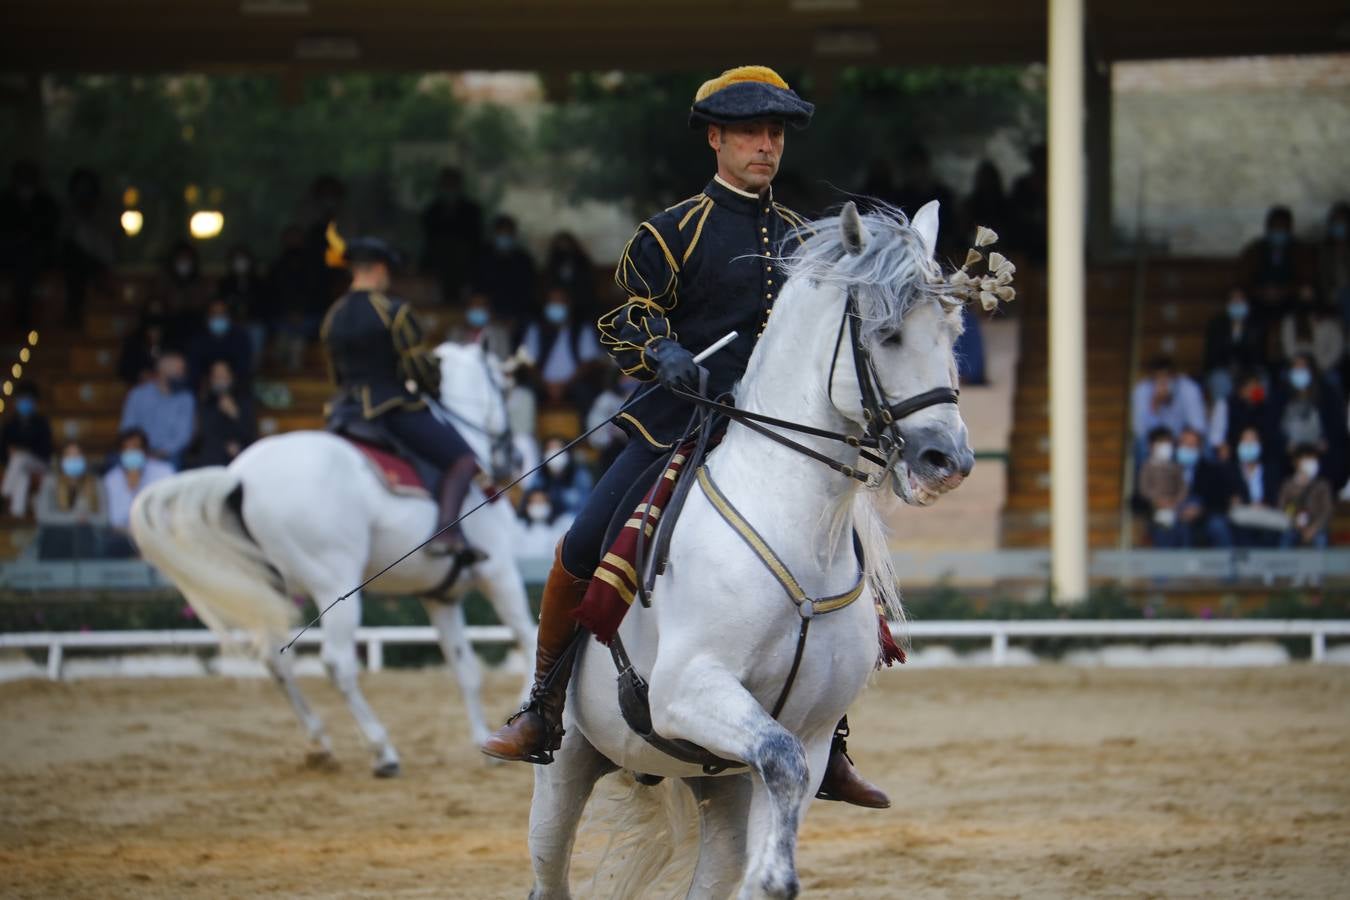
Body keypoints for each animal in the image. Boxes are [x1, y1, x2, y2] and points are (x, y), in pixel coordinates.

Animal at [128, 341, 534, 777]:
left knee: (276, 661)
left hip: (272, 587)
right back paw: (382, 750)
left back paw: (319, 744)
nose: (513, 459)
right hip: (335, 585)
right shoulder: (499, 573)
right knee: (337, 663)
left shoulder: (440, 596)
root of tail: (241, 477)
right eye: (504, 387)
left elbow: (466, 670)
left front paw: (483, 742)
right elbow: (528, 637)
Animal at [521, 201, 977, 895]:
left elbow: (786, 774)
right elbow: (779, 760)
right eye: (888, 334)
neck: (795, 524)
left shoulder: (808, 736)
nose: (947, 462)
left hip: (720, 789)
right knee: (549, 875)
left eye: (951, 330)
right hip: (566, 769)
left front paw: (774, 874)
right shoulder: (686, 690)